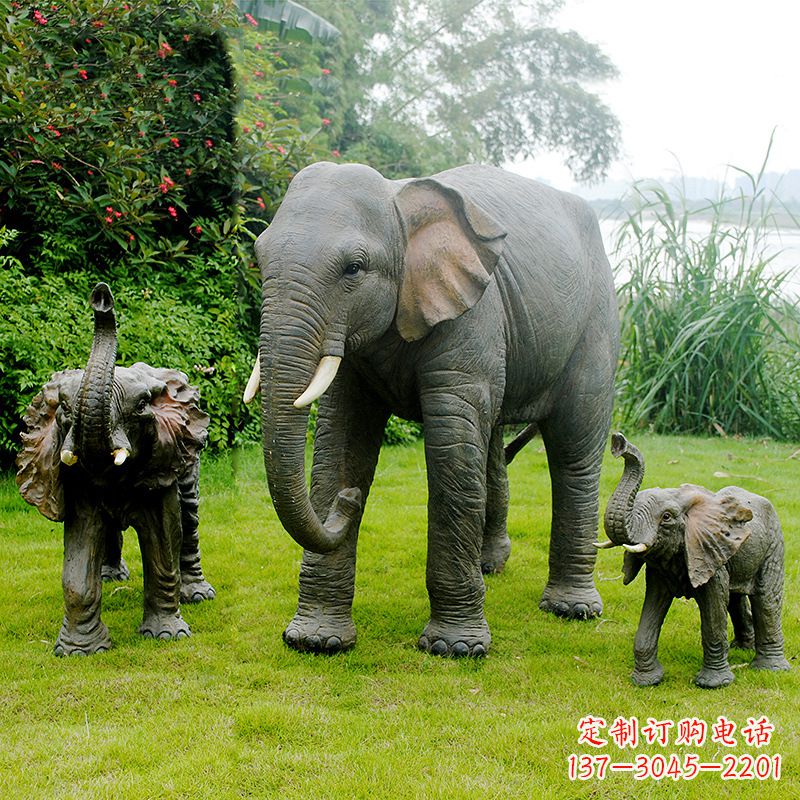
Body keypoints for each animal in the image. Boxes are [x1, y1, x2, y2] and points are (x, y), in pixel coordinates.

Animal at [248, 162, 620, 656]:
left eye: (354, 268)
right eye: (258, 259)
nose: (347, 503)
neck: (399, 202)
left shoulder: (472, 316)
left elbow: (451, 449)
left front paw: (456, 649)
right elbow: (340, 439)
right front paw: (316, 641)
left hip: (597, 323)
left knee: (572, 450)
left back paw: (571, 609)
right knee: (493, 441)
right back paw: (490, 567)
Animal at [600, 432, 788, 688]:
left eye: (666, 517)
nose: (619, 442)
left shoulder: (709, 556)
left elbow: (713, 613)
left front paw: (713, 685)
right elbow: (652, 606)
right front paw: (647, 682)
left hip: (773, 546)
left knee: (766, 599)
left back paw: (770, 668)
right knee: (735, 600)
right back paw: (741, 648)